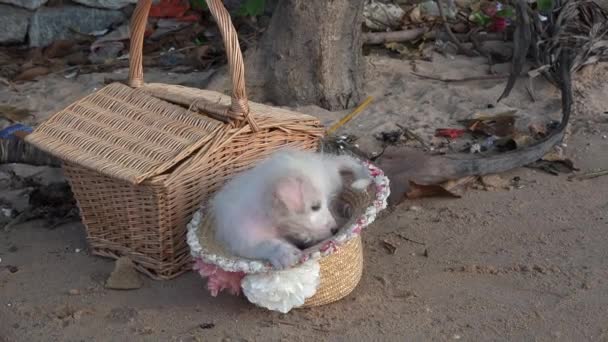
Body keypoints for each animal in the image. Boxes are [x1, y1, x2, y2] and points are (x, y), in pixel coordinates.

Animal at [209, 148, 370, 268]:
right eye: (315, 207)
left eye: (322, 205)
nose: (335, 230)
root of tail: (325, 162)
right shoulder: (244, 239)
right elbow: (265, 243)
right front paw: (284, 253)